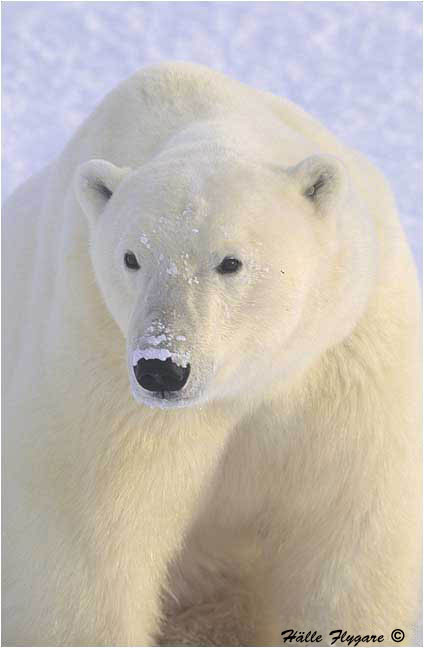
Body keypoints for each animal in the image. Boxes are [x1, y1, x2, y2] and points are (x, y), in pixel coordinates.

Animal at [2, 61, 420, 647]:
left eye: (230, 262)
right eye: (130, 257)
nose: (161, 368)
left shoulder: (347, 360)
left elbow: (348, 537)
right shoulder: (98, 365)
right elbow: (88, 548)